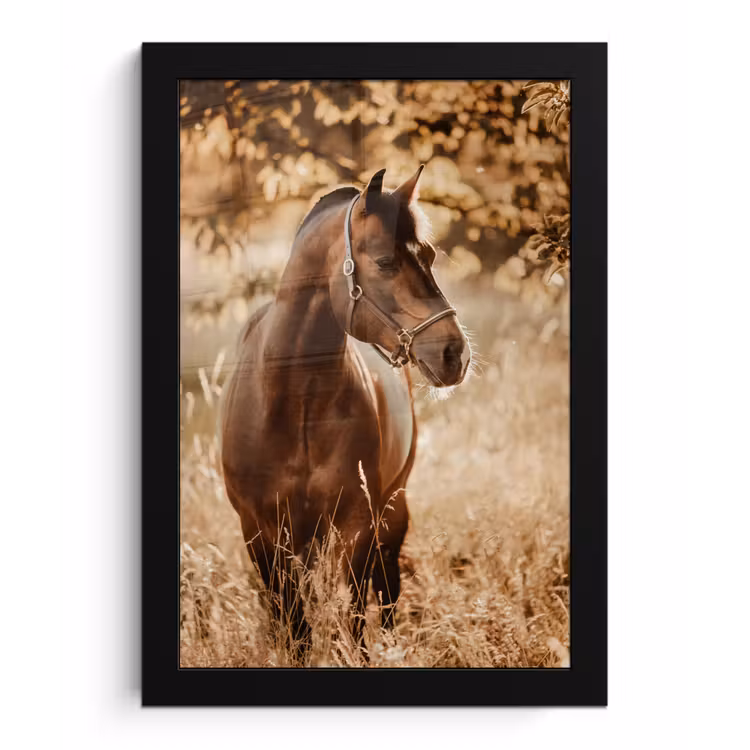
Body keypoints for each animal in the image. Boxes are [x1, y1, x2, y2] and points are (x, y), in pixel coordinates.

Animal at [220, 165, 471, 661]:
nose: (455, 353)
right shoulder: (259, 532)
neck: (294, 403)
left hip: (391, 510)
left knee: (387, 590)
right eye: (385, 262)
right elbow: (294, 627)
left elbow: (353, 619)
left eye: (430, 255)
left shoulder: (356, 524)